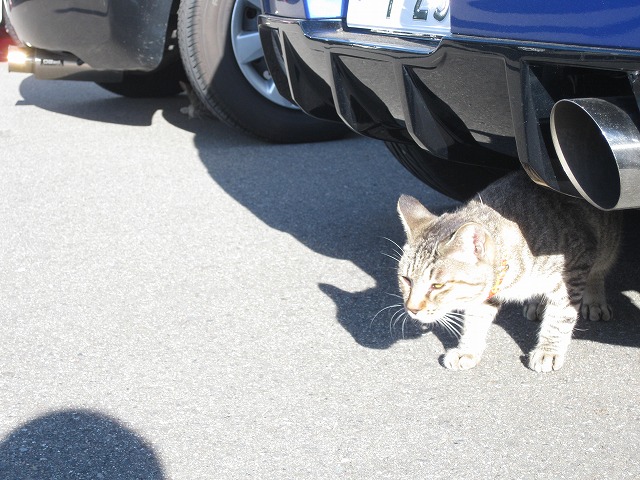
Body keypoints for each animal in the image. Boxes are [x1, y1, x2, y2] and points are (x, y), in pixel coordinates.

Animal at [396, 170, 622, 372]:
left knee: (598, 270)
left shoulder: (574, 268)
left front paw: (548, 351)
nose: (412, 308)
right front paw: (468, 350)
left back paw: (594, 300)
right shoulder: (486, 293)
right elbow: (475, 320)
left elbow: (560, 315)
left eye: (437, 285)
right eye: (406, 279)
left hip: (606, 243)